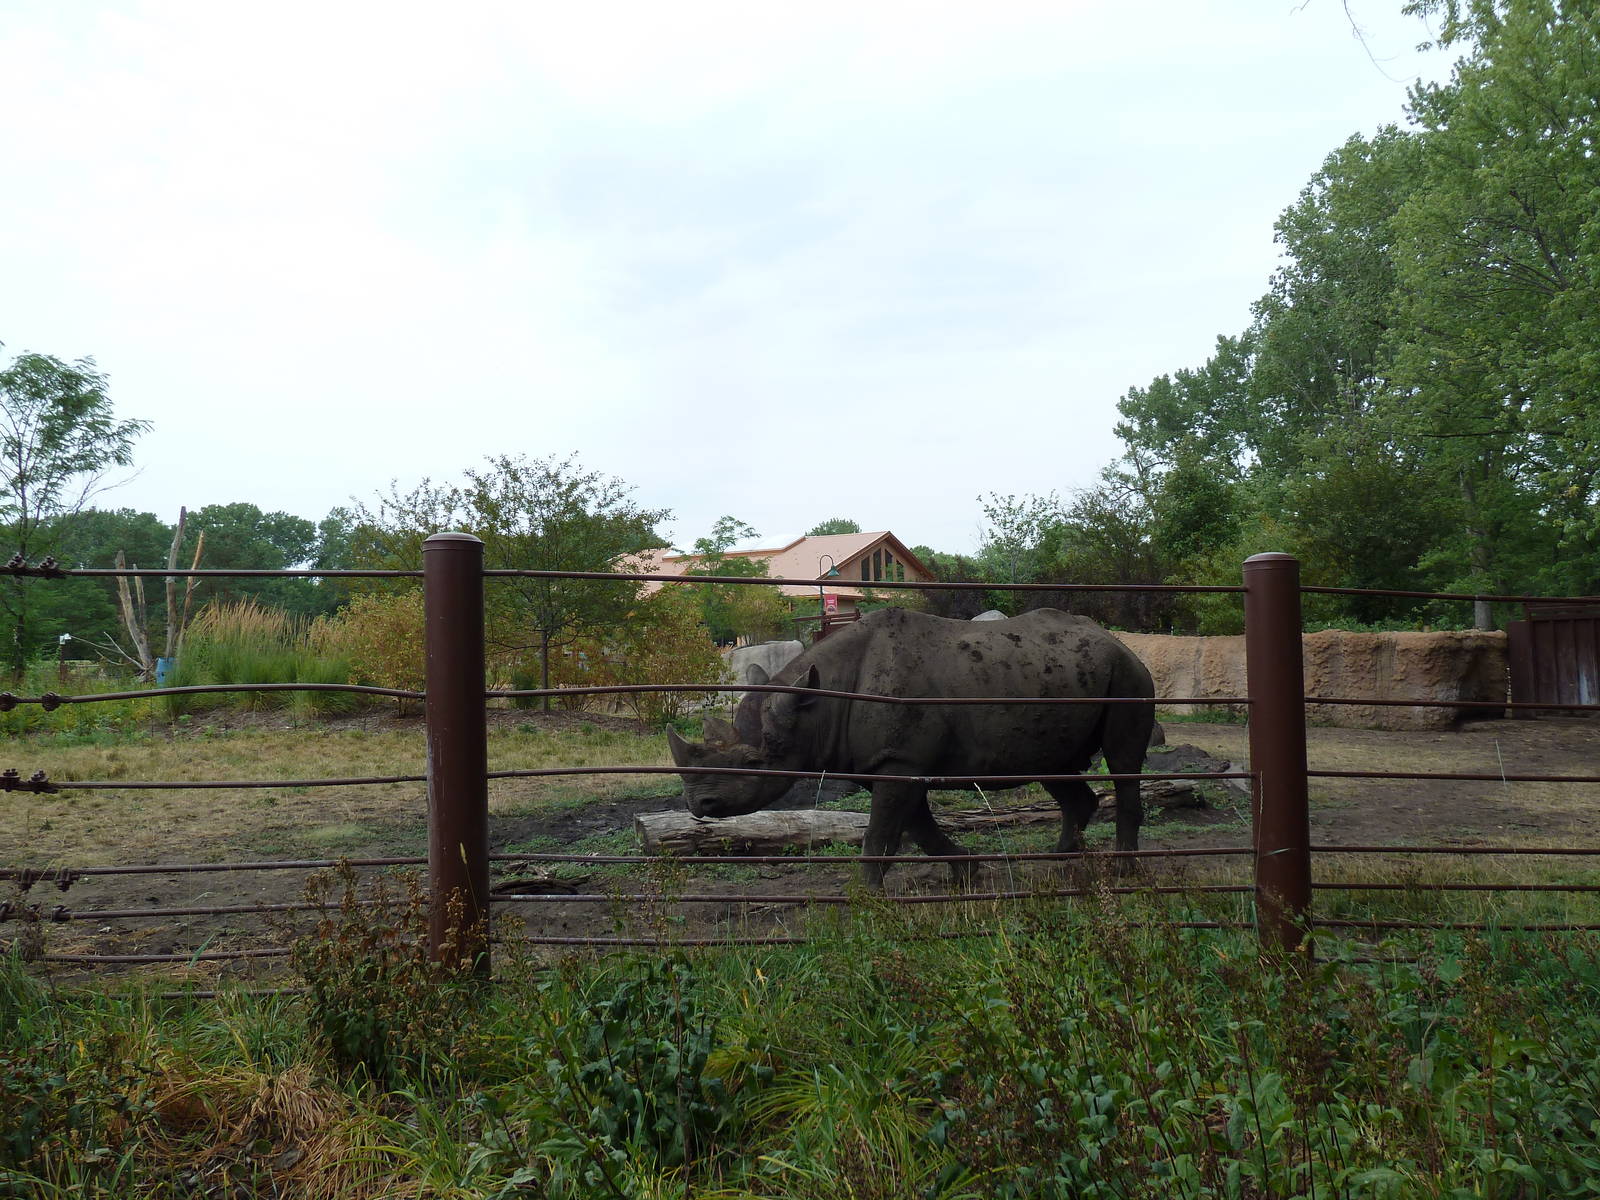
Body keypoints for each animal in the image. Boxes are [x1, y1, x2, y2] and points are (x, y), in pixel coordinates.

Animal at [666, 607, 1156, 888]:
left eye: (754, 761)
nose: (698, 803)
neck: (818, 706)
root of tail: (1117, 640)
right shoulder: (888, 762)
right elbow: (917, 827)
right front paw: (967, 871)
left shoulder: (899, 761)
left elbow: (881, 832)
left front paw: (863, 898)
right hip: (1061, 677)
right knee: (1055, 767)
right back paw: (1059, 862)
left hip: (1128, 676)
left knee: (1123, 761)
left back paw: (1124, 871)